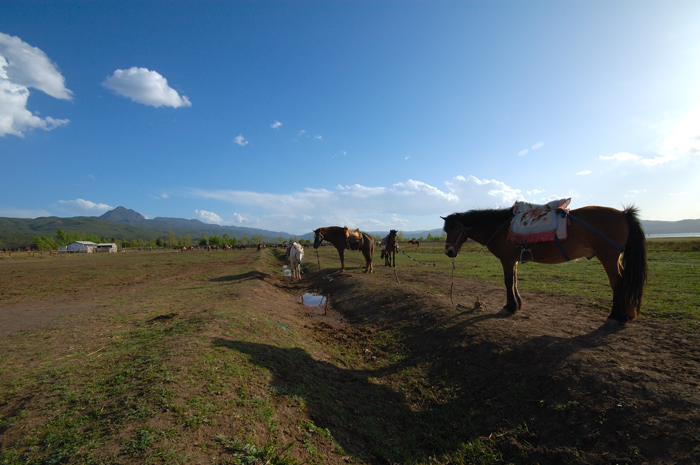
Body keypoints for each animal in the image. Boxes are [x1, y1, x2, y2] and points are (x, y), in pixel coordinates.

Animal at [442, 203, 652, 322]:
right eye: (446, 230)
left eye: (455, 229)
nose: (449, 252)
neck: (501, 227)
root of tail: (623, 213)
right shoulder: (514, 260)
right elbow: (515, 281)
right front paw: (517, 304)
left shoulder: (507, 259)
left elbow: (508, 282)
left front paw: (509, 307)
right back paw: (625, 314)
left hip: (608, 256)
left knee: (617, 282)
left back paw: (616, 315)